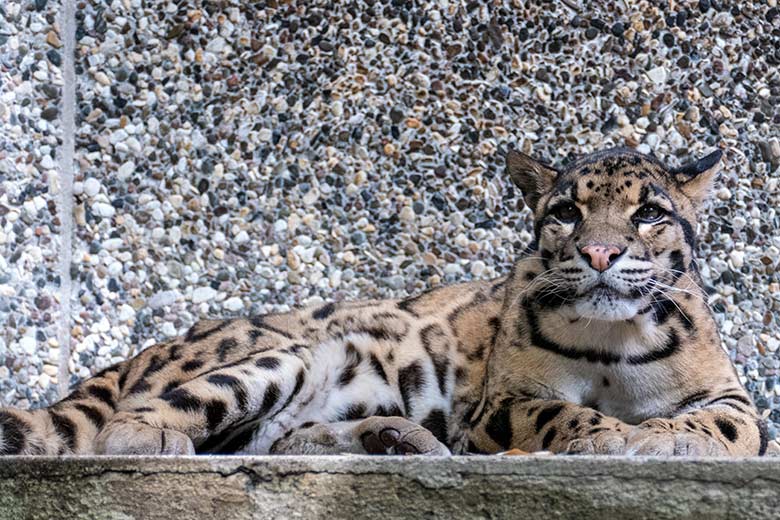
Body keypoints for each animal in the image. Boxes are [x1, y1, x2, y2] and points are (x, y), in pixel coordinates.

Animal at [0, 148, 768, 458]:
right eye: (565, 213)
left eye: (649, 214)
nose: (601, 254)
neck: (612, 343)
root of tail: (146, 349)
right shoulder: (502, 403)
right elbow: (558, 411)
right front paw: (608, 435)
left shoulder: (732, 394)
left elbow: (726, 427)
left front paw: (664, 435)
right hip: (282, 355)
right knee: (129, 425)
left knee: (277, 440)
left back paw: (396, 438)